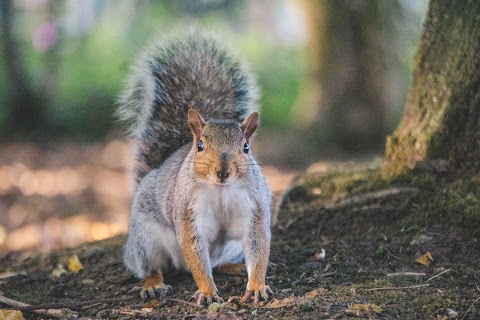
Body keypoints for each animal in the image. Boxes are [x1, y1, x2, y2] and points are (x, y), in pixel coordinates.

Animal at [118, 30, 274, 308]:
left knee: (218, 263)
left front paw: (257, 286)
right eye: (200, 145)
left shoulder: (254, 207)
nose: (223, 171)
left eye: (246, 147)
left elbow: (259, 247)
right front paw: (208, 292)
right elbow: (195, 251)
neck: (221, 189)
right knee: (152, 266)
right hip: (146, 238)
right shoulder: (188, 211)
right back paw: (153, 284)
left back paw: (234, 267)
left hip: (231, 246)